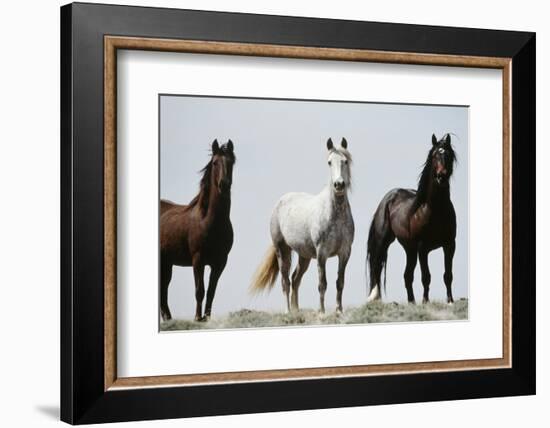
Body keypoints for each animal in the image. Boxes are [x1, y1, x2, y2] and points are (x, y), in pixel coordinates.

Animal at [161, 140, 236, 320]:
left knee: (164, 289)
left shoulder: (220, 263)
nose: (224, 185)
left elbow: (211, 292)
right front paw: (197, 318)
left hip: (166, 263)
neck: (209, 221)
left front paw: (206, 318)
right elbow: (199, 291)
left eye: (231, 162)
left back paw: (168, 319)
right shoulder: (198, 260)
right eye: (215, 162)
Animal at [251, 139, 356, 312]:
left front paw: (339, 310)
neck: (335, 215)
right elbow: (322, 284)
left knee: (295, 279)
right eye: (329, 162)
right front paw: (322, 312)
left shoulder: (345, 252)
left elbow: (340, 282)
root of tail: (280, 202)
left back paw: (296, 310)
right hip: (282, 250)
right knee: (285, 281)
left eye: (345, 161)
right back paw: (288, 311)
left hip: (304, 256)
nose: (339, 185)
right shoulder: (322, 254)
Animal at [368, 134, 460, 304]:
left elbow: (448, 275)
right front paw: (425, 302)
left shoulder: (449, 245)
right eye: (434, 155)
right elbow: (426, 277)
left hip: (410, 249)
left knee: (407, 275)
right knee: (377, 267)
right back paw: (375, 298)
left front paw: (450, 301)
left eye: (449, 155)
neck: (435, 210)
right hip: (384, 242)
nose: (441, 176)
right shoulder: (423, 248)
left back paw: (411, 302)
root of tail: (388, 198)